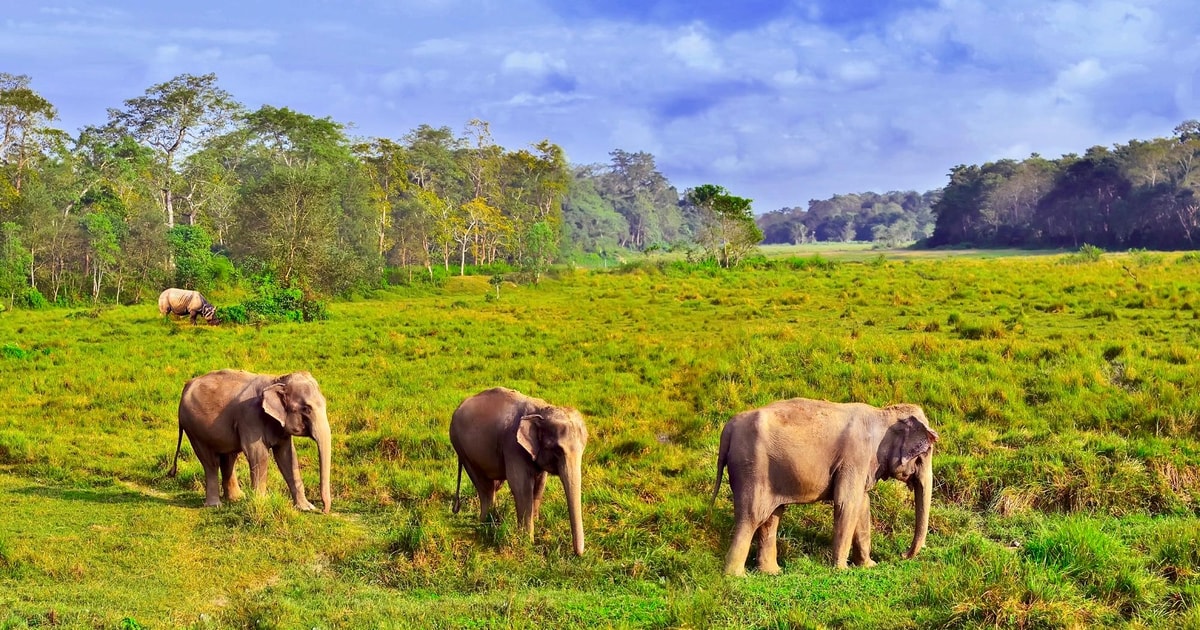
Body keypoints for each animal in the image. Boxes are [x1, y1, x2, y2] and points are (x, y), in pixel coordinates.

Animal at [166, 369, 331, 511]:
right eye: (306, 409)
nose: (324, 510)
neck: (276, 379)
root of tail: (187, 385)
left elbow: (287, 456)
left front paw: (306, 508)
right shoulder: (250, 416)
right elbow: (258, 454)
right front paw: (262, 502)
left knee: (229, 458)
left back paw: (237, 498)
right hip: (194, 428)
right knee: (210, 462)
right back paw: (215, 505)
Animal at [451, 386, 590, 552]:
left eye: (583, 448)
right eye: (557, 450)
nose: (577, 554)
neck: (541, 410)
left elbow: (540, 485)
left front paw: (537, 524)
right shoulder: (513, 445)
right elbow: (521, 486)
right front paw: (527, 541)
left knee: (494, 485)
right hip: (462, 449)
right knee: (484, 486)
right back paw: (487, 524)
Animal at [705, 398, 940, 573]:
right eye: (923, 455)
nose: (902, 555)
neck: (882, 413)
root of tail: (728, 428)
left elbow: (862, 505)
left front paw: (868, 566)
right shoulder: (856, 456)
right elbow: (847, 503)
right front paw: (841, 570)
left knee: (771, 517)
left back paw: (772, 572)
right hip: (752, 468)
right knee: (752, 516)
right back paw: (737, 576)